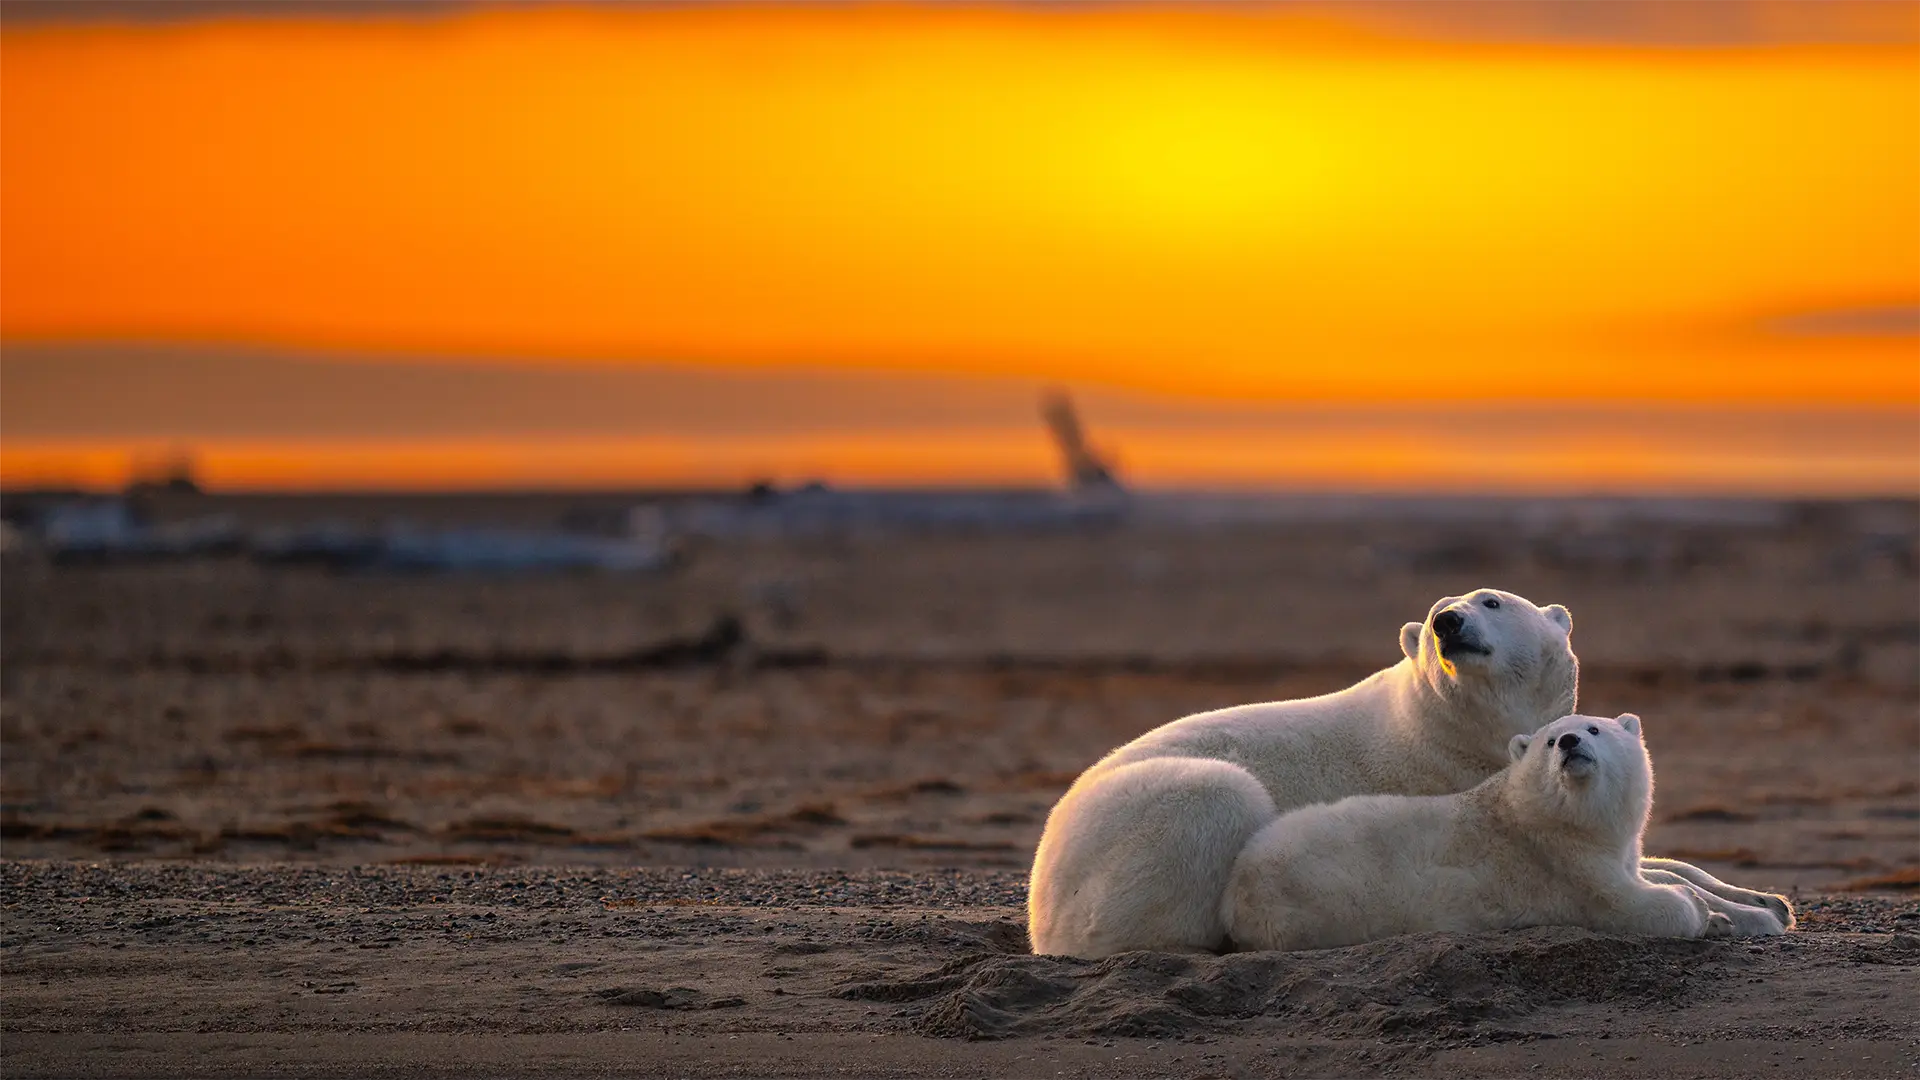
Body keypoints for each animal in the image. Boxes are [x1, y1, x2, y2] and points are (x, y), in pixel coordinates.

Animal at [1219, 712, 1789, 950]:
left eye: (1595, 728)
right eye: (1549, 740)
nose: (1570, 743)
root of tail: (1236, 885)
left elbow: (1659, 872)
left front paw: (1764, 908)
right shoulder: (1563, 865)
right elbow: (1636, 905)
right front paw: (1709, 916)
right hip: (1326, 900)